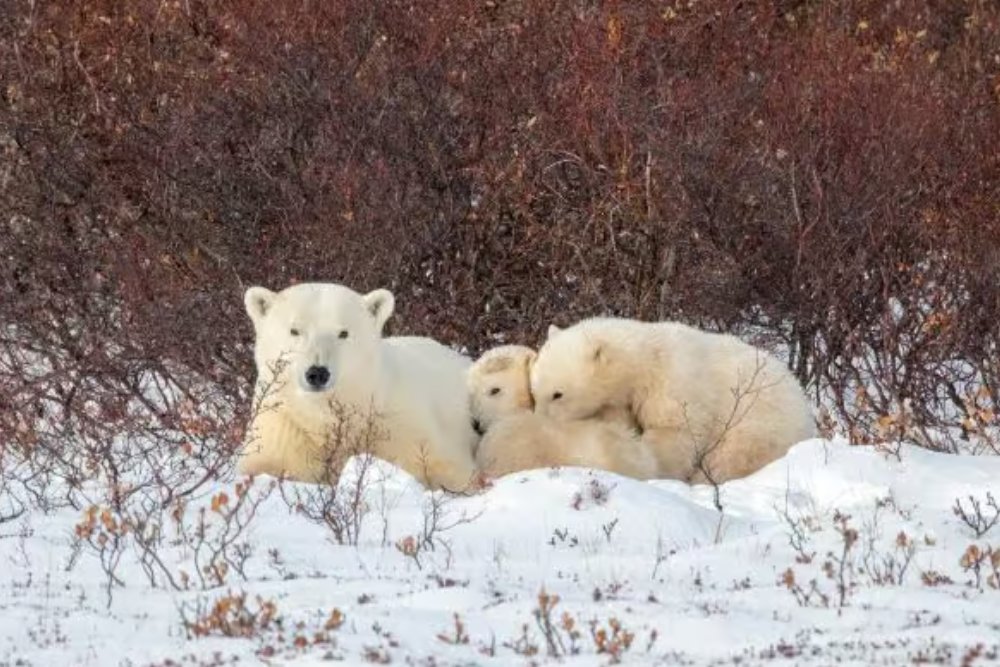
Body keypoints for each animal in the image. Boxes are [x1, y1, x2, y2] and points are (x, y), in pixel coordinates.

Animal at [237, 282, 479, 491]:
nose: (317, 373)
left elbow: (446, 466)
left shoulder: (395, 423)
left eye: (343, 333)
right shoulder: (284, 421)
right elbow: (268, 462)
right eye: (295, 330)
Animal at [529, 318, 817, 484]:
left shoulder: (674, 383)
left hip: (759, 424)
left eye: (557, 394)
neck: (645, 360)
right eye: (534, 391)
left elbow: (674, 432)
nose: (539, 422)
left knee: (732, 457)